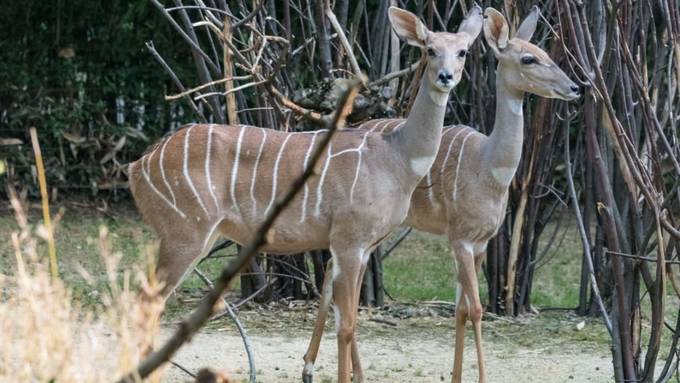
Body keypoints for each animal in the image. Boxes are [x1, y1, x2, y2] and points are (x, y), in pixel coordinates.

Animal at [129, 6, 484, 383]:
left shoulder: (363, 248)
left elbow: (349, 321)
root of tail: (137, 166)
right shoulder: (348, 241)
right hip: (184, 234)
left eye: (463, 51)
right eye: (430, 49)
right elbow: (345, 326)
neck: (397, 158)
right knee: (146, 305)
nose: (446, 76)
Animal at [302, 6, 580, 383]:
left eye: (545, 52)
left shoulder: (480, 243)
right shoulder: (460, 238)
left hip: (376, 232)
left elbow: (461, 309)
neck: (489, 165)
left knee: (335, 271)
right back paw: (314, 367)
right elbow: (475, 309)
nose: (574, 87)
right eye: (528, 58)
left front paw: (457, 375)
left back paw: (322, 367)